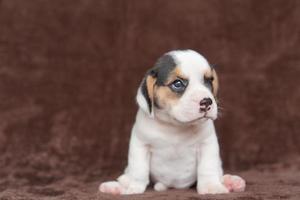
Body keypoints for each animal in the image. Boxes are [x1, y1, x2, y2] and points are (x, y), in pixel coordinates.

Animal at [99, 49, 245, 195]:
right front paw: (133, 187)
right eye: (177, 83)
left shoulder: (207, 144)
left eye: (209, 80)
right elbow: (138, 170)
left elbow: (208, 167)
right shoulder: (140, 144)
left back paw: (231, 181)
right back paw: (117, 186)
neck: (175, 126)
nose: (207, 102)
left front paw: (211, 187)